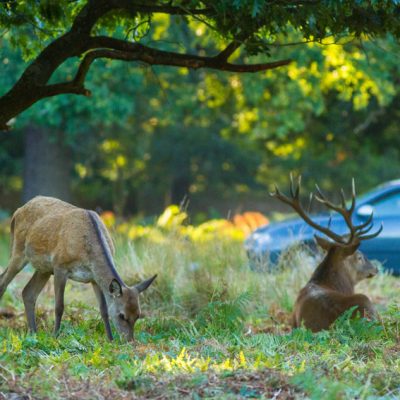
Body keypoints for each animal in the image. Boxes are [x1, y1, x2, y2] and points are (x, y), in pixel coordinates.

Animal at [0, 197, 156, 340]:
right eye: (122, 315)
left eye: (138, 315)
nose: (129, 340)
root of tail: (17, 212)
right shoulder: (60, 266)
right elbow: (59, 306)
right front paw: (55, 336)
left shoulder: (94, 278)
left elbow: (104, 310)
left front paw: (110, 339)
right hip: (18, 251)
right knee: (3, 282)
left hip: (44, 268)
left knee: (28, 292)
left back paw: (33, 332)